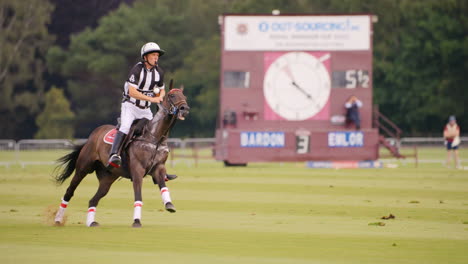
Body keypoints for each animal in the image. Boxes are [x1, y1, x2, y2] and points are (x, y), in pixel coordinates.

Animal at [52, 85, 188, 227]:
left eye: (184, 96)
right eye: (172, 96)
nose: (185, 109)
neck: (155, 137)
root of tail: (91, 137)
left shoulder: (158, 168)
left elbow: (163, 186)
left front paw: (169, 204)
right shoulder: (137, 170)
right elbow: (138, 196)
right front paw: (136, 221)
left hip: (108, 177)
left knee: (93, 199)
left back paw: (91, 222)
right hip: (83, 168)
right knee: (69, 191)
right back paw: (58, 219)